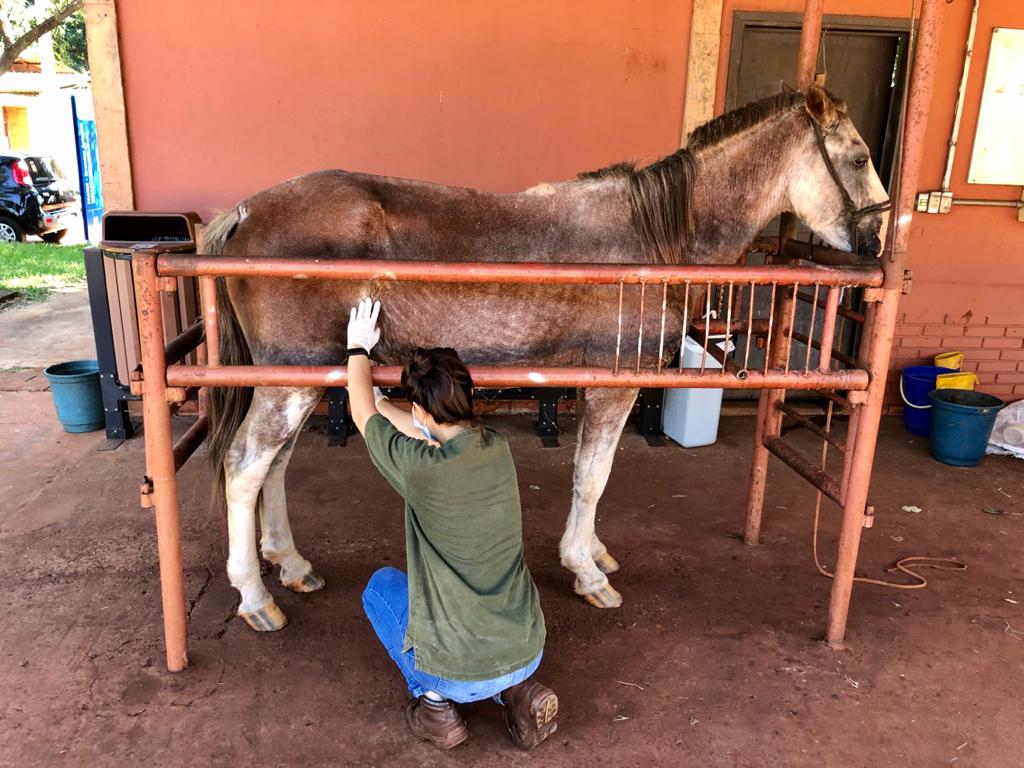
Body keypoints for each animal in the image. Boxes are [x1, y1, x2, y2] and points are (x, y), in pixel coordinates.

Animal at [203, 85, 888, 631]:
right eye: (858, 157)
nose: (878, 242)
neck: (651, 242)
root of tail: (244, 214)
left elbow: (590, 473)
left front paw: (594, 552)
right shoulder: (613, 385)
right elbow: (593, 476)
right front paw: (587, 571)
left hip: (300, 378)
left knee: (275, 466)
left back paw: (290, 563)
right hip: (287, 385)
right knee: (246, 466)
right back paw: (255, 597)